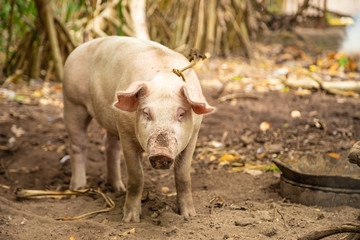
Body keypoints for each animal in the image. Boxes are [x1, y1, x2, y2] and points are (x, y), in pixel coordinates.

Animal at [62, 36, 214, 222]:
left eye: (181, 113)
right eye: (146, 112)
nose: (161, 153)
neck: (164, 78)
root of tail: (78, 48)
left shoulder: (194, 135)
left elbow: (183, 175)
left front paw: (189, 216)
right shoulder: (126, 133)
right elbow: (136, 176)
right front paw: (130, 220)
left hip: (111, 119)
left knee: (110, 145)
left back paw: (118, 188)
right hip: (72, 101)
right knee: (78, 145)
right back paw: (77, 188)